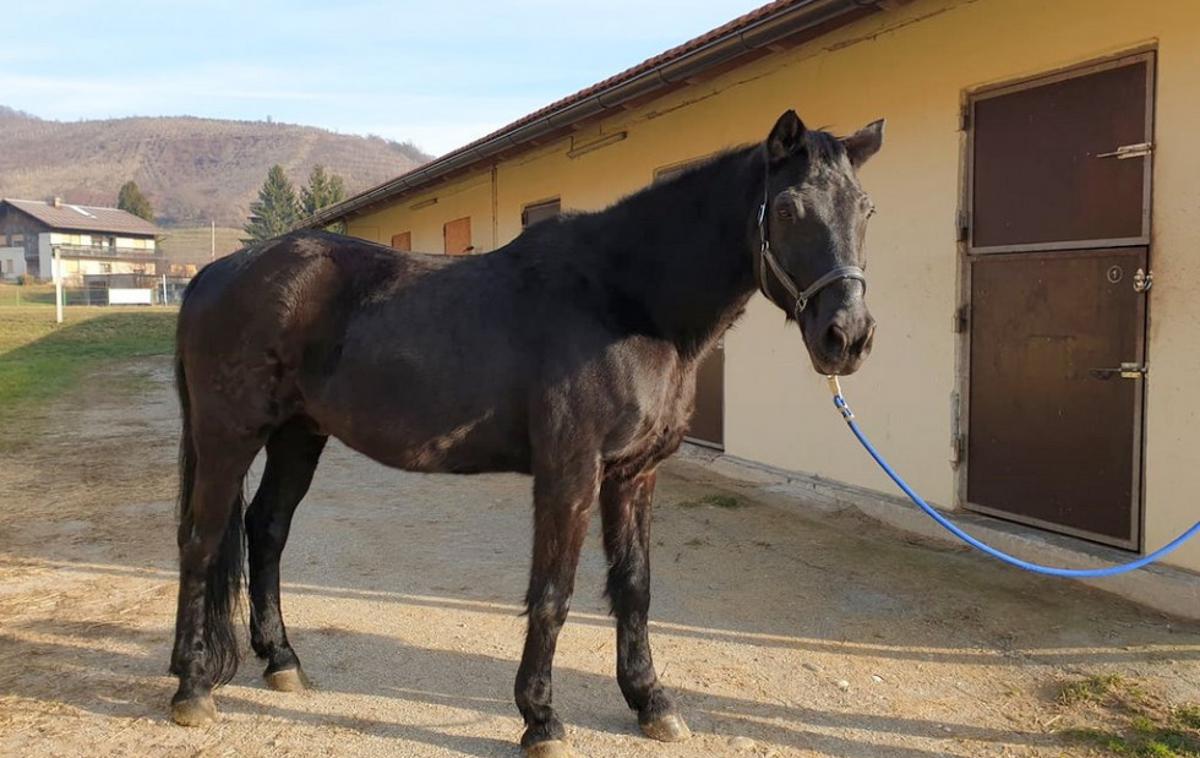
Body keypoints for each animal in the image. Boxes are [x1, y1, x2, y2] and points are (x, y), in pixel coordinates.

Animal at [169, 109, 883, 753]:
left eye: (866, 210)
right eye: (786, 209)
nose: (847, 337)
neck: (625, 300)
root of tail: (213, 275)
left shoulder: (635, 473)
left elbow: (634, 586)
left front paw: (651, 701)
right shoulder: (570, 472)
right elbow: (553, 594)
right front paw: (541, 719)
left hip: (298, 434)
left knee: (265, 530)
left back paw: (277, 661)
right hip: (229, 436)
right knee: (203, 542)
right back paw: (193, 689)